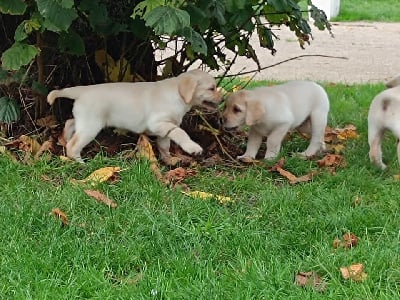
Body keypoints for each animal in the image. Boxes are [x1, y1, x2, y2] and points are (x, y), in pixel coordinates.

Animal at [48, 69, 222, 163]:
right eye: (211, 88)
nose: (222, 100)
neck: (177, 94)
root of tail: (82, 90)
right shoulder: (158, 123)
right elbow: (181, 132)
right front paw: (193, 148)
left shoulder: (164, 129)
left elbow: (164, 146)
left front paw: (168, 160)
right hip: (91, 125)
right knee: (74, 145)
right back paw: (80, 162)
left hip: (84, 120)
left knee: (70, 122)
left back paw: (66, 138)